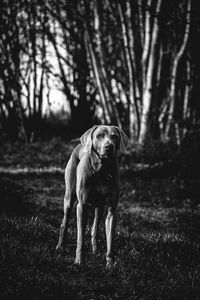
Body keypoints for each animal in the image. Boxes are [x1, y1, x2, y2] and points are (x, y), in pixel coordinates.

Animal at [55, 124, 130, 268]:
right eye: (100, 135)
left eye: (114, 136)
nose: (109, 146)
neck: (102, 171)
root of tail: (79, 144)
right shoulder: (82, 207)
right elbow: (80, 238)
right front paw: (79, 261)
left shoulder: (112, 210)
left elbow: (110, 240)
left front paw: (110, 263)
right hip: (69, 197)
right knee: (64, 223)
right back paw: (60, 247)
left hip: (99, 207)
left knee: (94, 229)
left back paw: (95, 251)